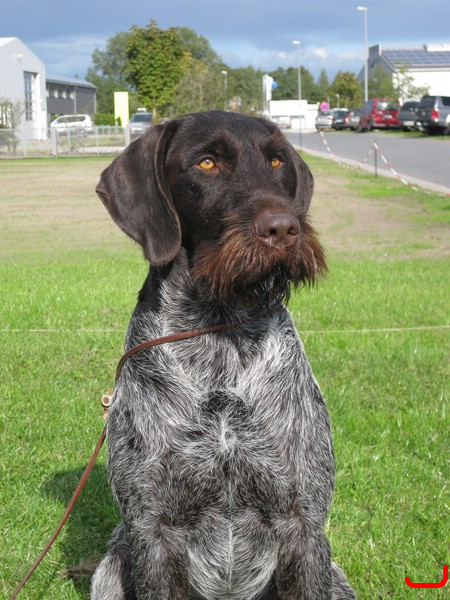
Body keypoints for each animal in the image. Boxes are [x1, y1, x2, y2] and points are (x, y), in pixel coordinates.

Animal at [91, 110, 356, 599]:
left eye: (276, 161)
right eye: (207, 163)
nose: (283, 228)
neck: (220, 337)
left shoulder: (304, 523)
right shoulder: (151, 532)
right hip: (111, 568)